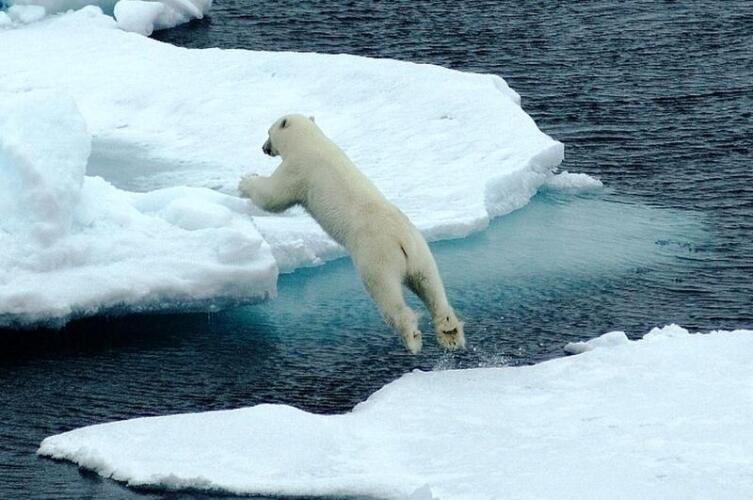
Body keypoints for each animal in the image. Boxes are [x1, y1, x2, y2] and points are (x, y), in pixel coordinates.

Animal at [239, 114, 464, 354]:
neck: (309, 141)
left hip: (376, 256)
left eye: (268, 133)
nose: (264, 148)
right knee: (431, 286)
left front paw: (245, 181)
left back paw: (411, 336)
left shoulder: (298, 170)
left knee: (386, 293)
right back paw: (450, 332)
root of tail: (402, 242)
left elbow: (273, 196)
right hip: (421, 253)